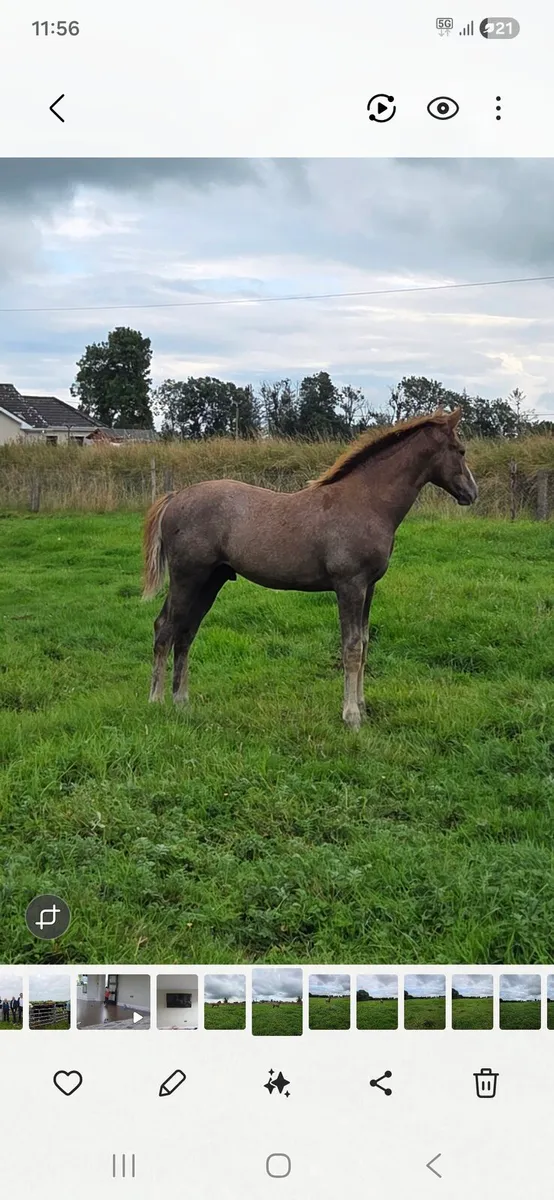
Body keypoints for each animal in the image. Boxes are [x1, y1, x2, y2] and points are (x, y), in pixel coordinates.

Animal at [142, 407, 477, 728]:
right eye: (460, 450)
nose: (472, 494)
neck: (366, 502)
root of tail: (175, 497)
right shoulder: (350, 586)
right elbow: (351, 648)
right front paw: (351, 717)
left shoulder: (369, 587)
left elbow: (364, 644)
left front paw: (363, 707)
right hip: (188, 578)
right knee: (165, 628)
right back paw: (156, 701)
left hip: (211, 581)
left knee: (186, 633)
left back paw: (181, 702)